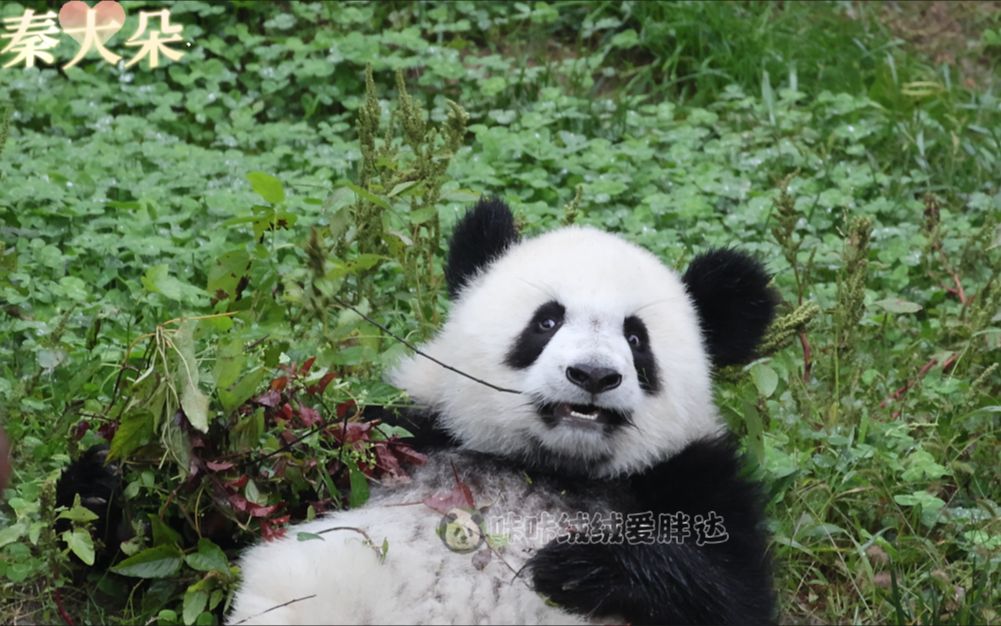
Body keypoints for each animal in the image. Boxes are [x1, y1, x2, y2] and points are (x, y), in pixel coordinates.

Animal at [225, 199, 772, 624]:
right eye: (547, 321)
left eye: (637, 339)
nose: (592, 375)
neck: (549, 467)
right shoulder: (410, 432)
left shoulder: (691, 480)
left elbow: (731, 596)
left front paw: (576, 566)